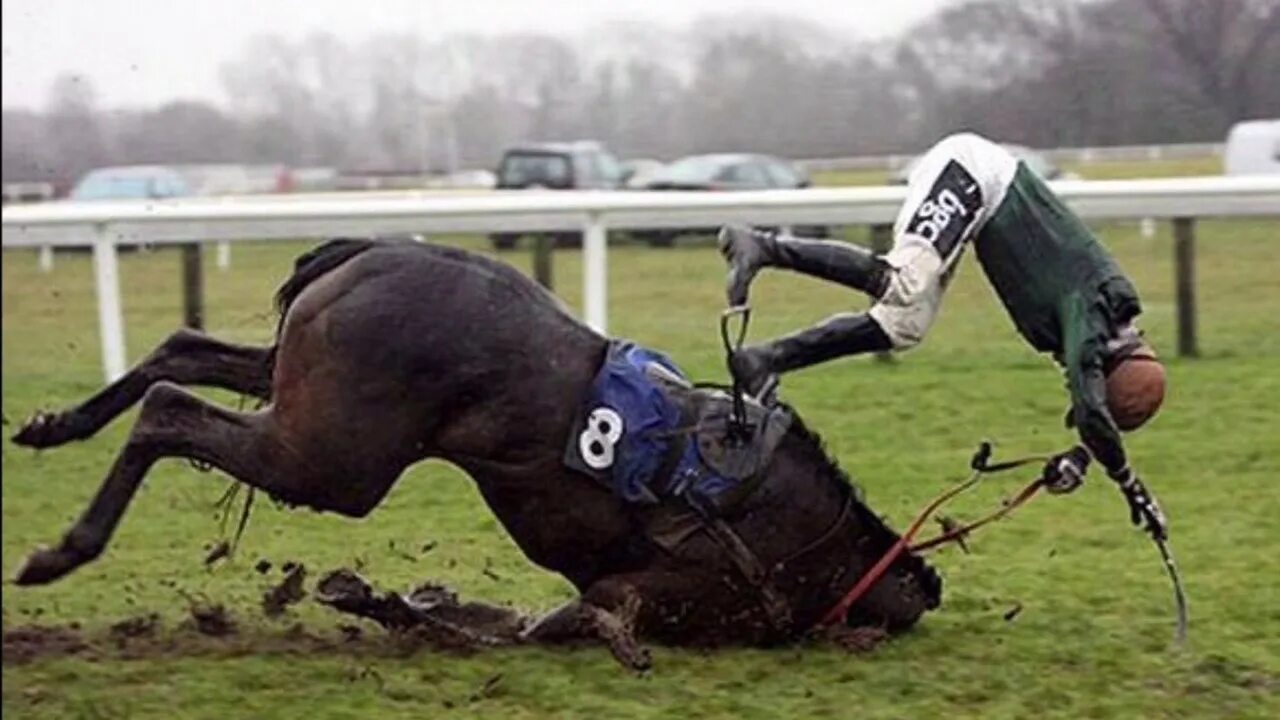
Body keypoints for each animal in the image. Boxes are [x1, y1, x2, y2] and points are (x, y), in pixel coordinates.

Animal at [12, 238, 942, 666]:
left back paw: (54, 425)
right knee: (168, 409)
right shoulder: (633, 593)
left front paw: (375, 596)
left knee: (178, 353)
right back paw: (62, 551)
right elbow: (539, 627)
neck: (799, 529)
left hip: (300, 398)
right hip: (332, 458)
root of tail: (374, 250)